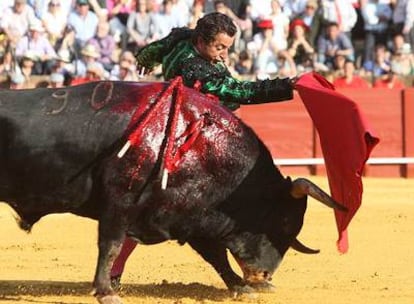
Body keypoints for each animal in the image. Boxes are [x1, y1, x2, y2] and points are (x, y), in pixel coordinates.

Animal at [0, 79, 346, 302]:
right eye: (285, 222)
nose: (264, 276)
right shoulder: (121, 201)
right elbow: (110, 244)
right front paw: (106, 291)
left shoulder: (190, 213)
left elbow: (215, 254)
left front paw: (239, 286)